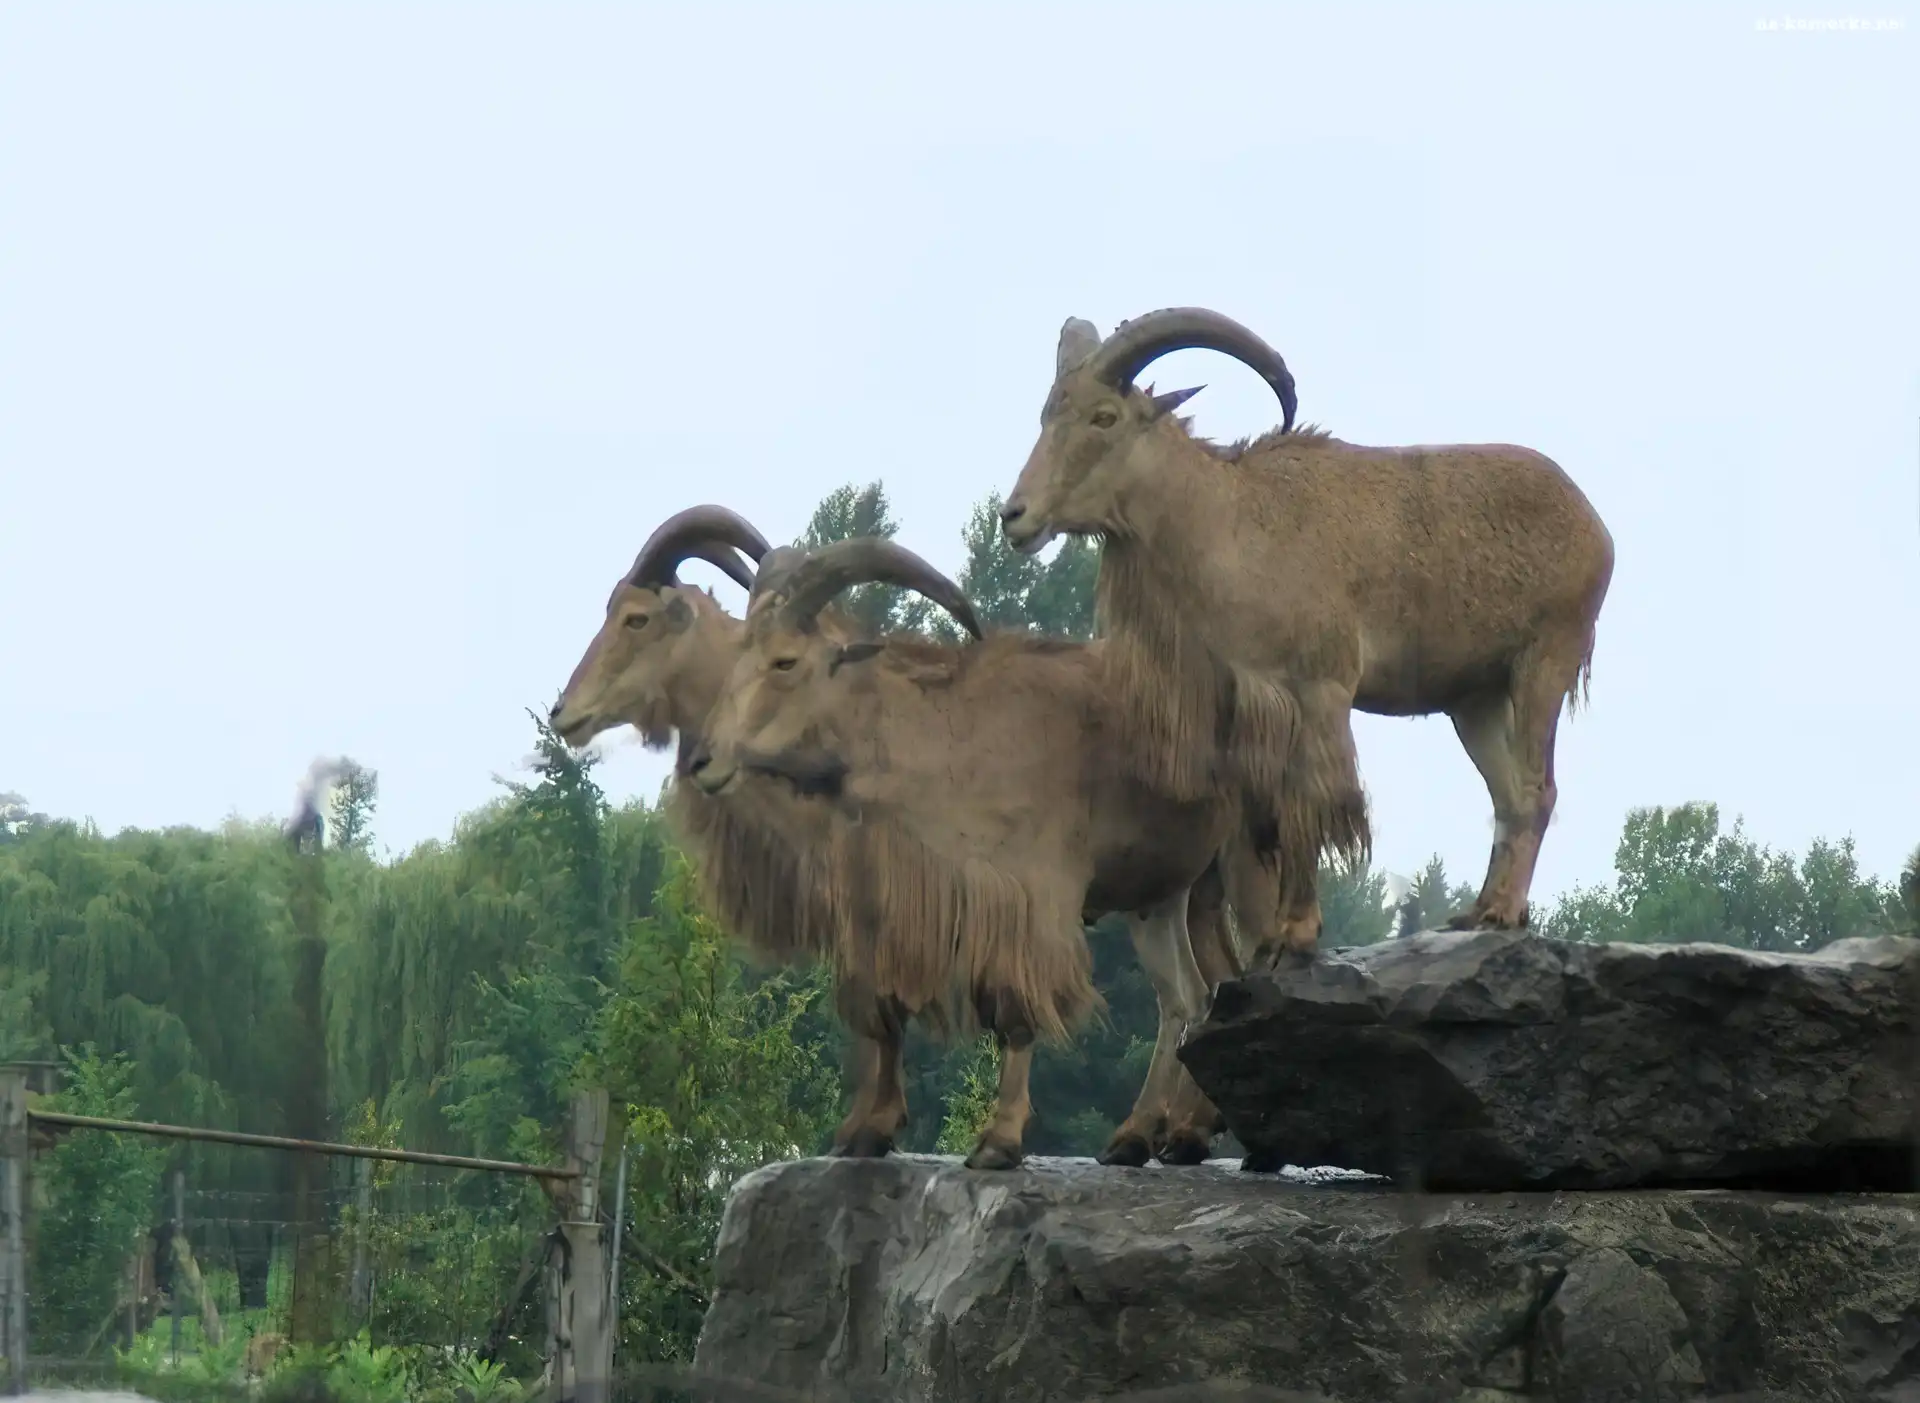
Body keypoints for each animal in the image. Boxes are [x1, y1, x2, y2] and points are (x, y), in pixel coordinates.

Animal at [550, 507, 1245, 1168]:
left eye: (636, 620)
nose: (563, 713)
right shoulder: (877, 908)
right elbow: (878, 1010)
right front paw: (867, 1130)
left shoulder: (1020, 901)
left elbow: (1009, 1011)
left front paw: (996, 1140)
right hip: (1169, 893)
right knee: (1192, 996)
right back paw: (1151, 1134)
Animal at [998, 307, 1616, 944]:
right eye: (1048, 413)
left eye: (1105, 417)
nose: (1015, 516)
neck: (1229, 523)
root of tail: (1594, 523)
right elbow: (1270, 815)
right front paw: (1279, 930)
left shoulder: (1321, 688)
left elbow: (1310, 803)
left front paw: (1296, 930)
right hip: (1475, 699)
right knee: (1507, 795)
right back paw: (1478, 910)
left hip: (1544, 661)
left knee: (1537, 789)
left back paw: (1503, 910)